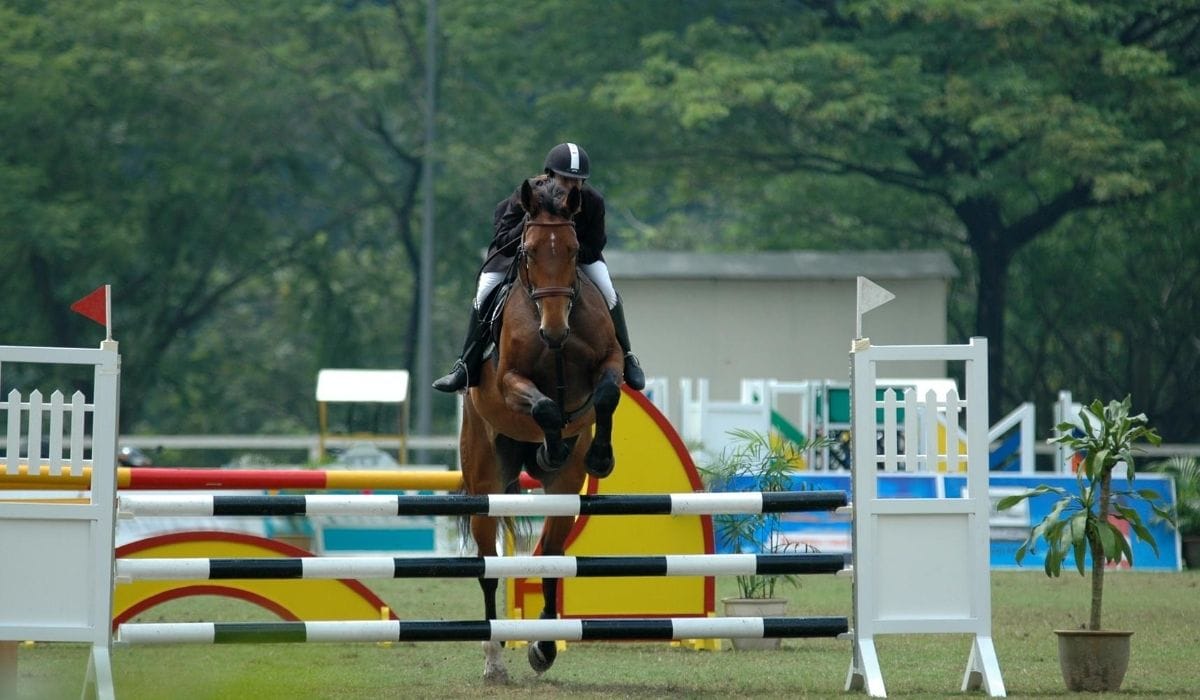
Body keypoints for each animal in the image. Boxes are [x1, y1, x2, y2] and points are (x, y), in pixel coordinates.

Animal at [459, 175, 626, 683]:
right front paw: (552, 445)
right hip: (484, 482)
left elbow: (605, 395)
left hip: (564, 495)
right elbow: (548, 407)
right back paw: (494, 660)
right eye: (528, 251)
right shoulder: (511, 380)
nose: (553, 332)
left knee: (553, 555)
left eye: (572, 251)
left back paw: (543, 647)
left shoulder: (609, 363)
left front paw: (600, 457)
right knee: (488, 567)